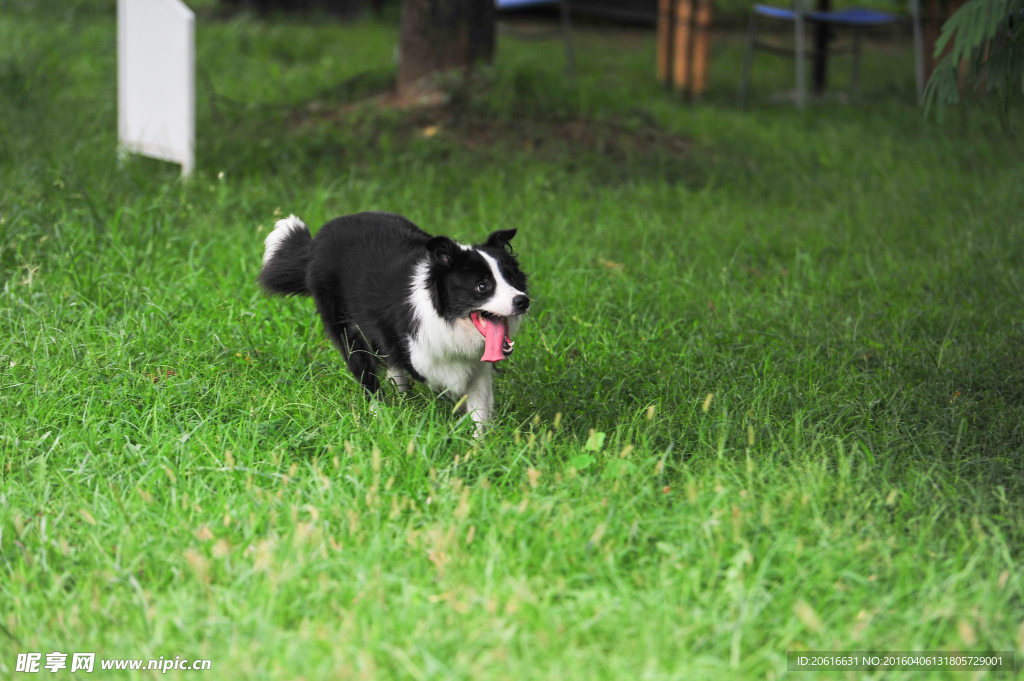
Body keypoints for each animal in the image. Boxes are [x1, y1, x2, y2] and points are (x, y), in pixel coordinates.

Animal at [258, 210, 528, 430]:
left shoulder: (478, 367)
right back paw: (380, 413)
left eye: (512, 279)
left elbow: (479, 407)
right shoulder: (418, 350)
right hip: (346, 326)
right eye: (482, 286)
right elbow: (440, 377)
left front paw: (480, 447)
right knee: (366, 372)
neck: (447, 318)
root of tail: (316, 242)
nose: (522, 301)